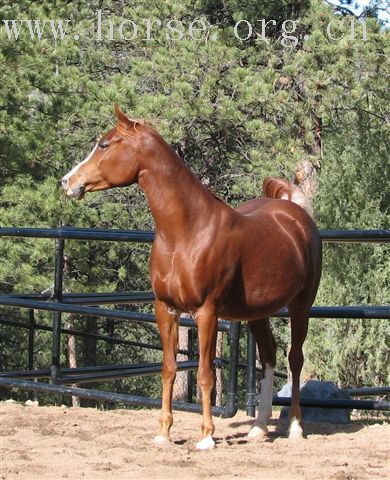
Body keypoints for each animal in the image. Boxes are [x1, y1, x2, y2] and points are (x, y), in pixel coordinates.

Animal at [62, 105, 322, 450]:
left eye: (104, 145)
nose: (67, 181)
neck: (186, 233)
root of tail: (294, 213)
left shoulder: (207, 313)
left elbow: (204, 374)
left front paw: (207, 437)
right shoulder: (166, 309)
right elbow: (170, 369)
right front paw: (163, 433)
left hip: (300, 306)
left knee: (295, 359)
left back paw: (294, 426)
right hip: (257, 313)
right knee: (268, 356)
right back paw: (258, 428)